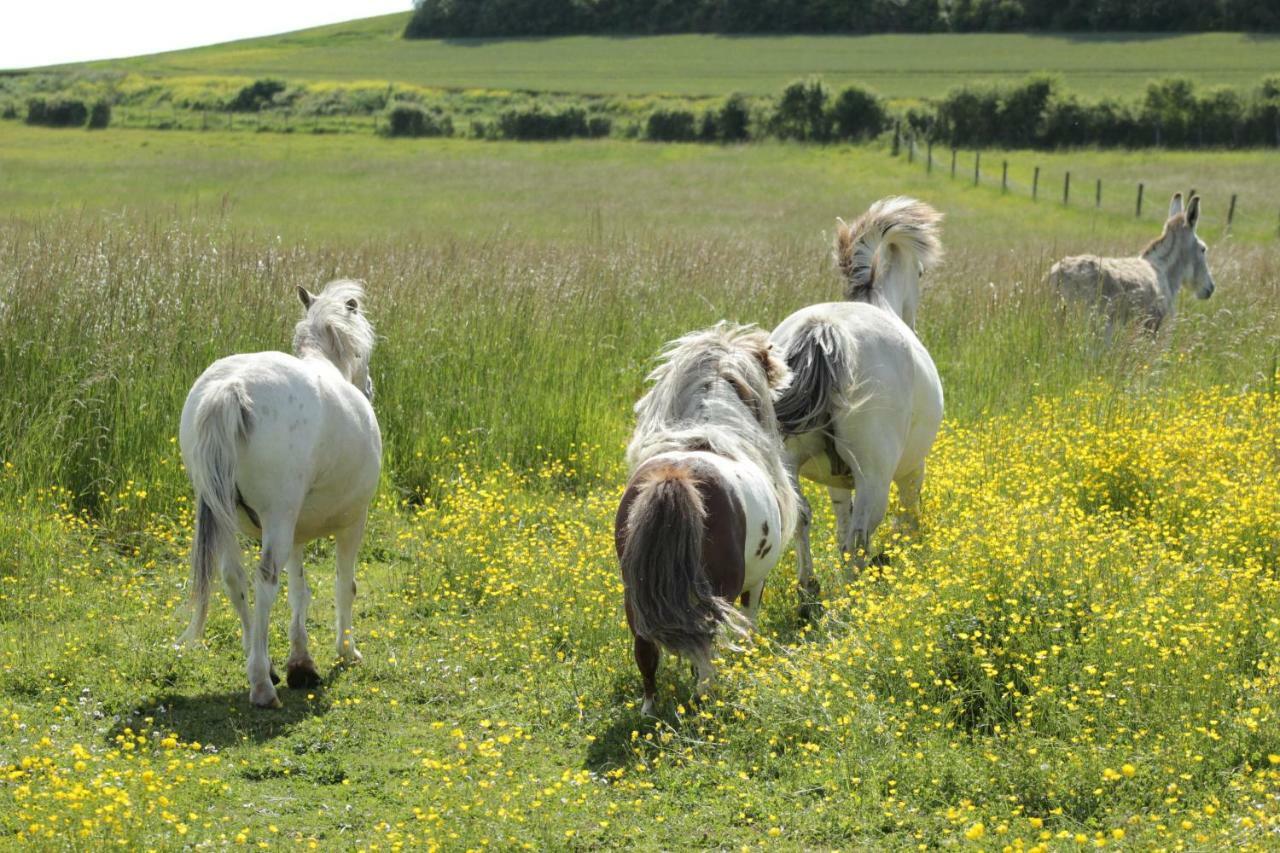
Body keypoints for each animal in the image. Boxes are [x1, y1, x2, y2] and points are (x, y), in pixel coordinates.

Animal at [179, 277, 378, 701]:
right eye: (362, 350)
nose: (367, 385)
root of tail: (231, 387)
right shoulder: (353, 522)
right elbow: (344, 585)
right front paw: (346, 650)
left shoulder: (298, 533)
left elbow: (299, 590)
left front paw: (300, 662)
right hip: (279, 519)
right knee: (264, 579)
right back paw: (260, 684)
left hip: (226, 516)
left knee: (234, 579)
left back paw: (263, 665)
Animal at [614, 320, 793, 712]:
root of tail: (675, 477)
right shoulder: (755, 582)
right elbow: (750, 622)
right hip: (719, 593)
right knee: (705, 650)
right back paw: (705, 699)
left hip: (635, 596)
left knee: (645, 651)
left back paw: (650, 710)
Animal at [762, 195, 947, 601]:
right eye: (921, 274)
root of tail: (824, 330)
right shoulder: (913, 470)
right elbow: (908, 519)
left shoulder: (835, 482)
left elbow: (836, 525)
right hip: (875, 478)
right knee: (859, 538)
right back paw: (851, 601)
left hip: (788, 463)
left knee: (802, 518)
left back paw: (809, 589)